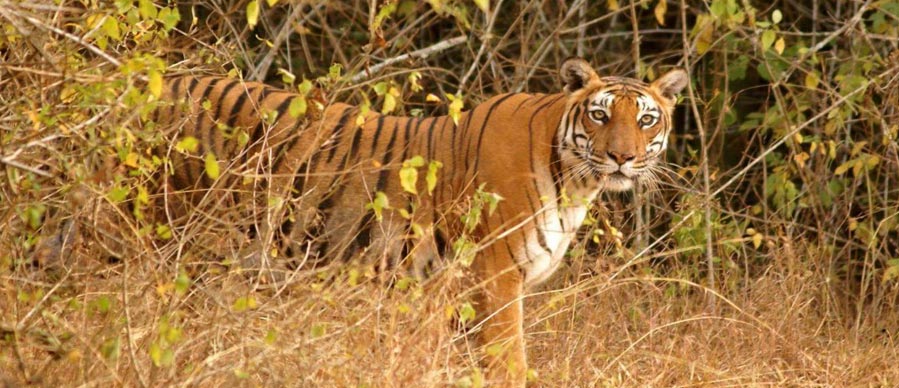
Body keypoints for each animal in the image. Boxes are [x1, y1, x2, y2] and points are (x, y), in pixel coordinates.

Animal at [45, 56, 684, 384]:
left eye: (647, 119)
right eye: (600, 115)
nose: (622, 156)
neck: (576, 177)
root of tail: (130, 87)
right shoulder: (495, 277)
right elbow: (510, 361)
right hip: (127, 233)